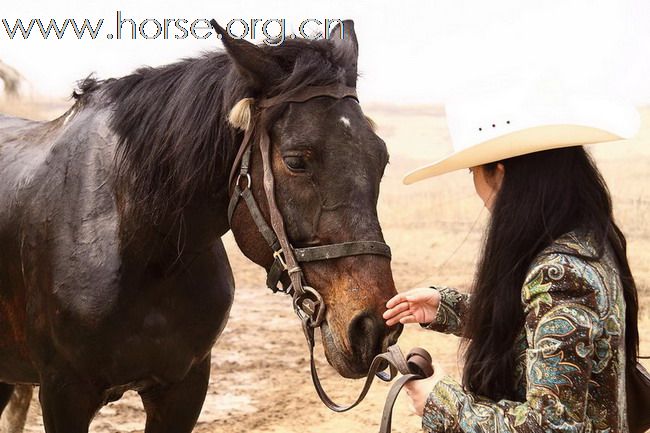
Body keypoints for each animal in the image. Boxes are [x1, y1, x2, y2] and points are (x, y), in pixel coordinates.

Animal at [0, 18, 400, 430]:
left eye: (381, 158)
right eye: (295, 161)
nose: (373, 326)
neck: (141, 249)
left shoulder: (184, 388)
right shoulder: (64, 395)